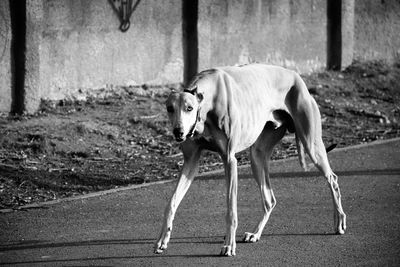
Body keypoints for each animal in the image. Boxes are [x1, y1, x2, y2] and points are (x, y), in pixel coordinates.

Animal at [155, 63, 346, 256]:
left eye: (189, 108)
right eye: (169, 108)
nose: (178, 132)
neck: (207, 103)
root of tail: (296, 76)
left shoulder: (230, 160)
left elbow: (231, 211)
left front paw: (229, 245)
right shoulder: (190, 161)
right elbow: (171, 203)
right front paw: (163, 238)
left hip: (312, 145)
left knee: (332, 179)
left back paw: (339, 221)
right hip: (257, 156)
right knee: (269, 200)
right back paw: (255, 234)